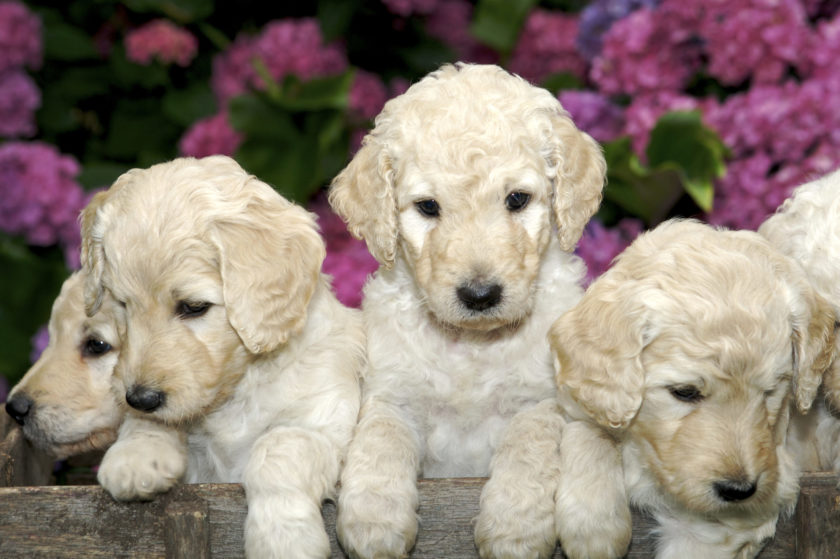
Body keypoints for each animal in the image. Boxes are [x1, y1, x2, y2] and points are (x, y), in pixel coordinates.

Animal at [80, 155, 366, 556]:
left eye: (194, 307)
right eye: (122, 304)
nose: (141, 399)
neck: (238, 389)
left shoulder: (323, 424)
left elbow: (277, 447)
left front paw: (282, 537)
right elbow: (151, 424)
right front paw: (136, 455)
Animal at [326, 62, 604, 559]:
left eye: (517, 199)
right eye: (427, 207)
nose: (479, 295)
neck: (473, 344)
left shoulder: (541, 400)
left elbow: (526, 448)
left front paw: (514, 531)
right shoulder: (393, 394)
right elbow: (380, 440)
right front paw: (374, 522)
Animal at [552, 219, 832, 559]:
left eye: (768, 392)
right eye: (684, 392)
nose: (738, 490)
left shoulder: (754, 504)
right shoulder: (585, 395)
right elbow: (589, 428)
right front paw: (594, 525)